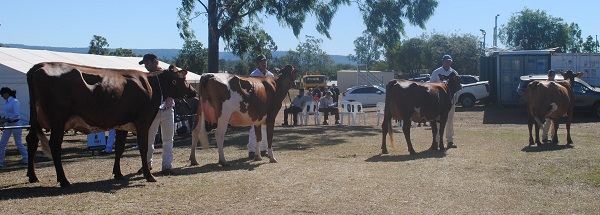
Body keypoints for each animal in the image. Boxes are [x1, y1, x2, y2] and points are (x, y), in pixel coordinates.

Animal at [25, 61, 196, 186]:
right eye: (183, 79)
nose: (194, 91)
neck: (151, 84)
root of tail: (40, 65)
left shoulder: (123, 124)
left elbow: (119, 148)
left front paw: (118, 173)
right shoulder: (143, 121)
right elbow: (144, 147)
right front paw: (149, 175)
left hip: (35, 119)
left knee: (32, 141)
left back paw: (33, 176)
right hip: (58, 120)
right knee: (54, 145)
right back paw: (64, 180)